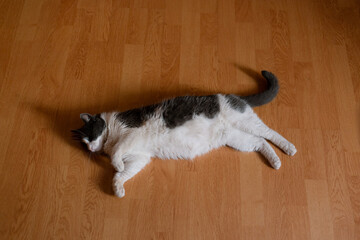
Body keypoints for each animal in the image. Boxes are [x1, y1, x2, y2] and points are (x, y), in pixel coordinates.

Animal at [71, 70, 296, 198]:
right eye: (84, 143)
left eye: (90, 136)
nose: (90, 148)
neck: (111, 132)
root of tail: (235, 97)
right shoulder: (139, 158)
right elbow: (123, 174)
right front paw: (118, 188)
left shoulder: (131, 133)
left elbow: (118, 152)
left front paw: (116, 164)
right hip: (236, 139)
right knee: (260, 142)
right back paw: (275, 162)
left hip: (245, 122)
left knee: (269, 133)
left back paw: (289, 148)